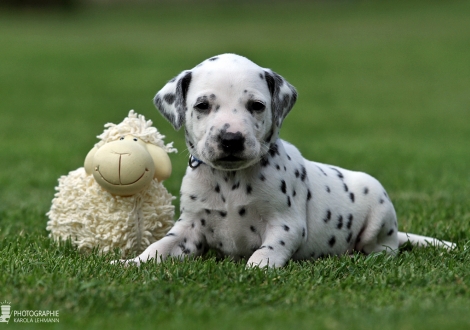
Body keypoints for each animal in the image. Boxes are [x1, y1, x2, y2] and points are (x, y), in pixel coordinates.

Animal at [121, 52, 456, 268]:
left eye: (256, 105)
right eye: (202, 105)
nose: (231, 139)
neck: (230, 181)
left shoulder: (286, 224)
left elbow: (267, 251)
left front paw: (256, 268)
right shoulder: (189, 227)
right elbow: (159, 247)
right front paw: (129, 262)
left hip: (378, 212)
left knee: (383, 248)